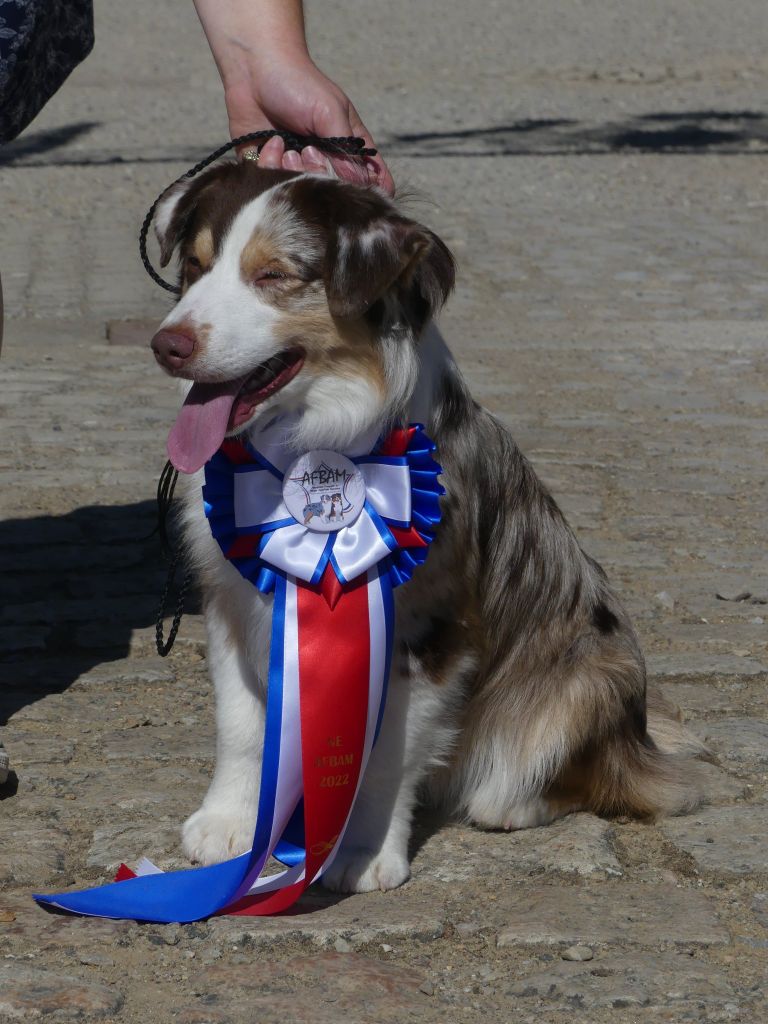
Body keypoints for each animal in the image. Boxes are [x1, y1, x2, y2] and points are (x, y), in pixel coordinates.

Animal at [147, 163, 708, 892]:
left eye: (272, 274)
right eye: (194, 266)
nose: (168, 345)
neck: (310, 442)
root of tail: (639, 737)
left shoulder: (432, 629)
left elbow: (389, 753)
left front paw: (362, 851)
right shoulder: (232, 598)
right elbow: (240, 722)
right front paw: (230, 824)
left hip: (594, 673)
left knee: (592, 782)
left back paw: (511, 802)